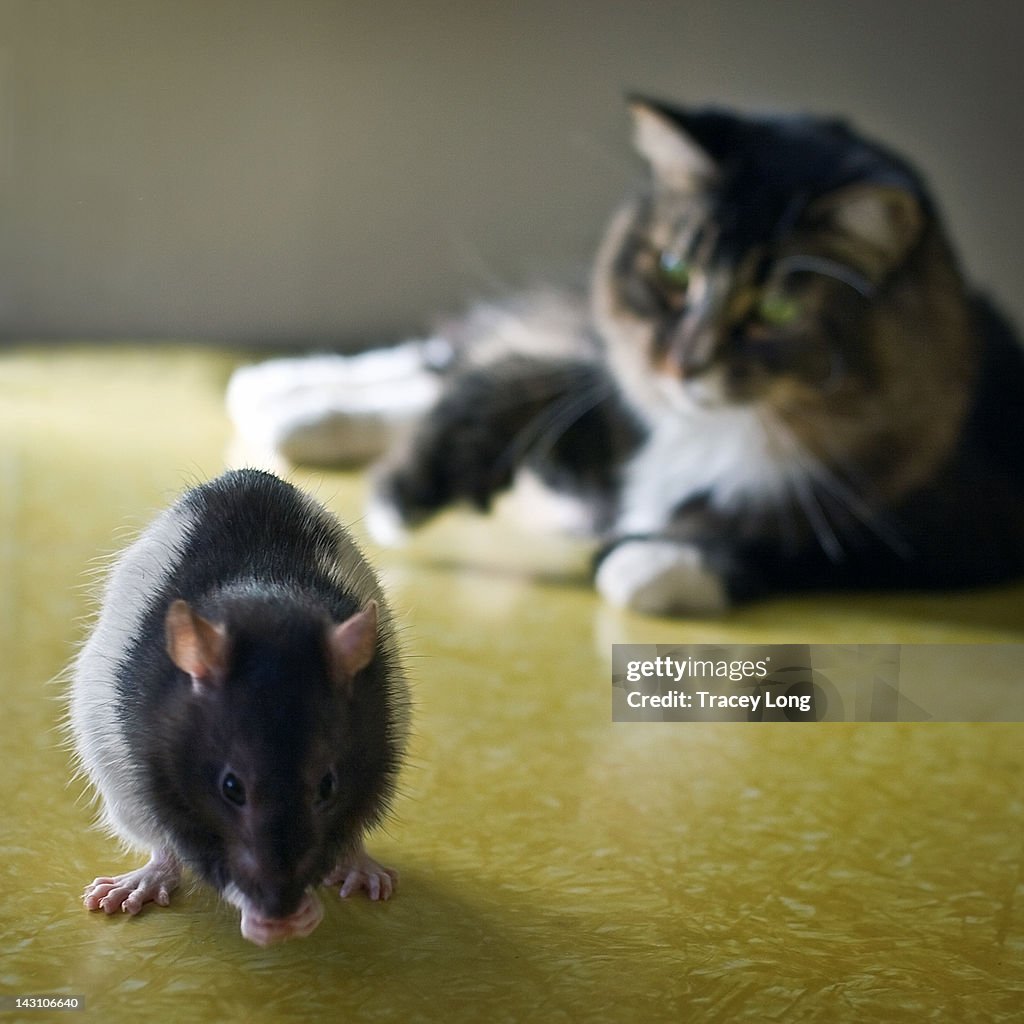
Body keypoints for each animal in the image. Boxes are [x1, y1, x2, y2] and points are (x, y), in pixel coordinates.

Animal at [232, 96, 1024, 610]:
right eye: (675, 270)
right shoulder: (606, 398)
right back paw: (280, 394)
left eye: (777, 308)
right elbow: (505, 385)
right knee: (447, 355)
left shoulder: (950, 524)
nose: (684, 364)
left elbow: (795, 535)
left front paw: (655, 558)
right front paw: (407, 491)